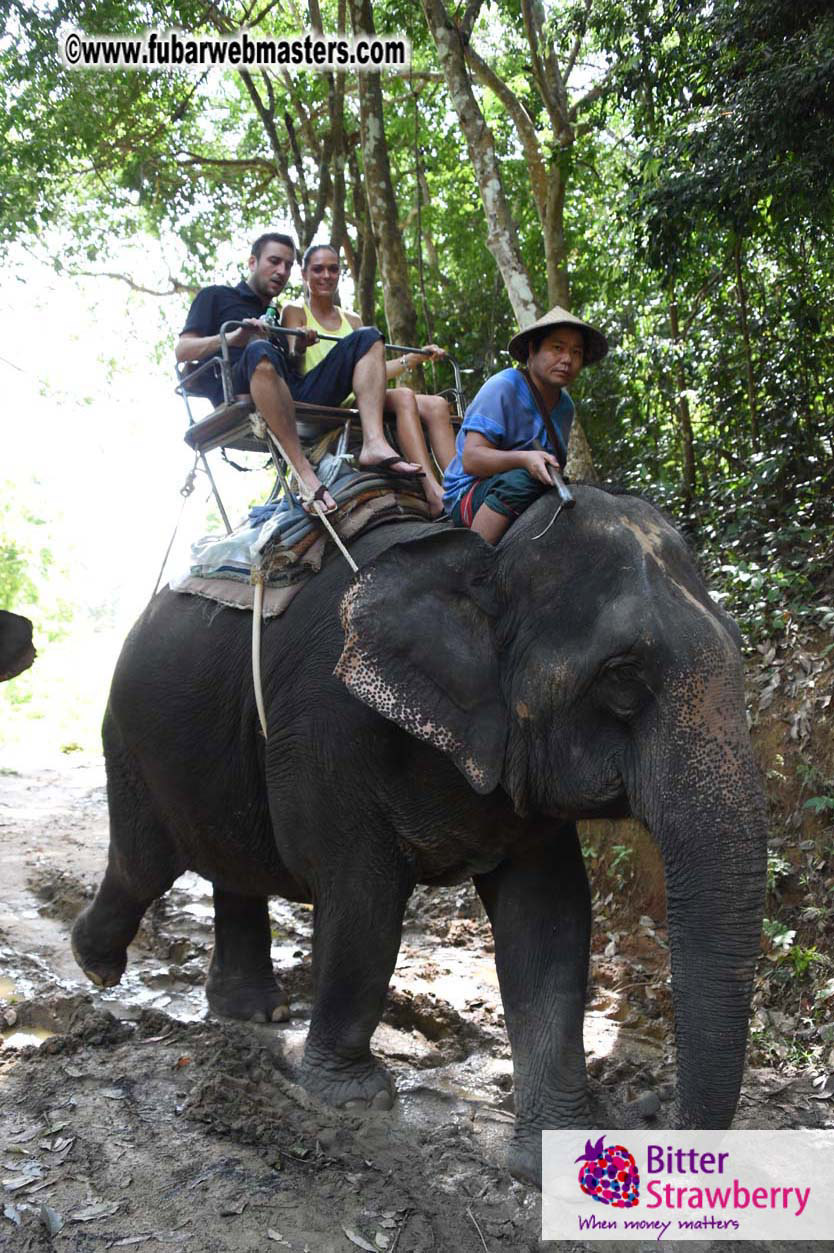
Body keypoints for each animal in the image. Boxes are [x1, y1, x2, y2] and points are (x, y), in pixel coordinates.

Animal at [71, 485, 766, 1186]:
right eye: (623, 679)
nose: (650, 1110)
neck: (488, 556)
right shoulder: (329, 727)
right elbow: (363, 902)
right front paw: (356, 1099)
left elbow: (550, 917)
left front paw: (556, 1152)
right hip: (131, 737)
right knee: (145, 861)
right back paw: (97, 964)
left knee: (230, 870)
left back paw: (252, 1012)